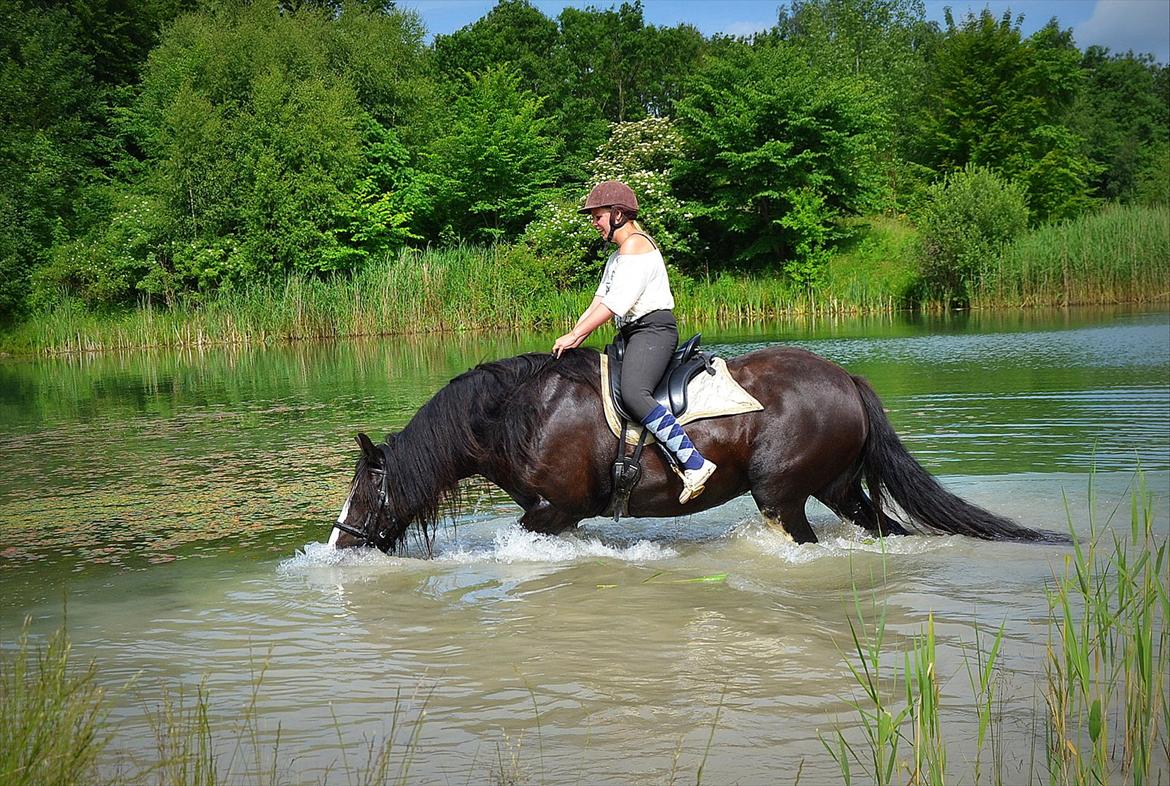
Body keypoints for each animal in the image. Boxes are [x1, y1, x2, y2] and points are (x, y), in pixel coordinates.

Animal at [325, 343, 1067, 552]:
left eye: (364, 489)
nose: (340, 542)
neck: (519, 414)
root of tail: (847, 380)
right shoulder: (558, 517)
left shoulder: (554, 511)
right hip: (835, 487)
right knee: (883, 526)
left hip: (782, 495)